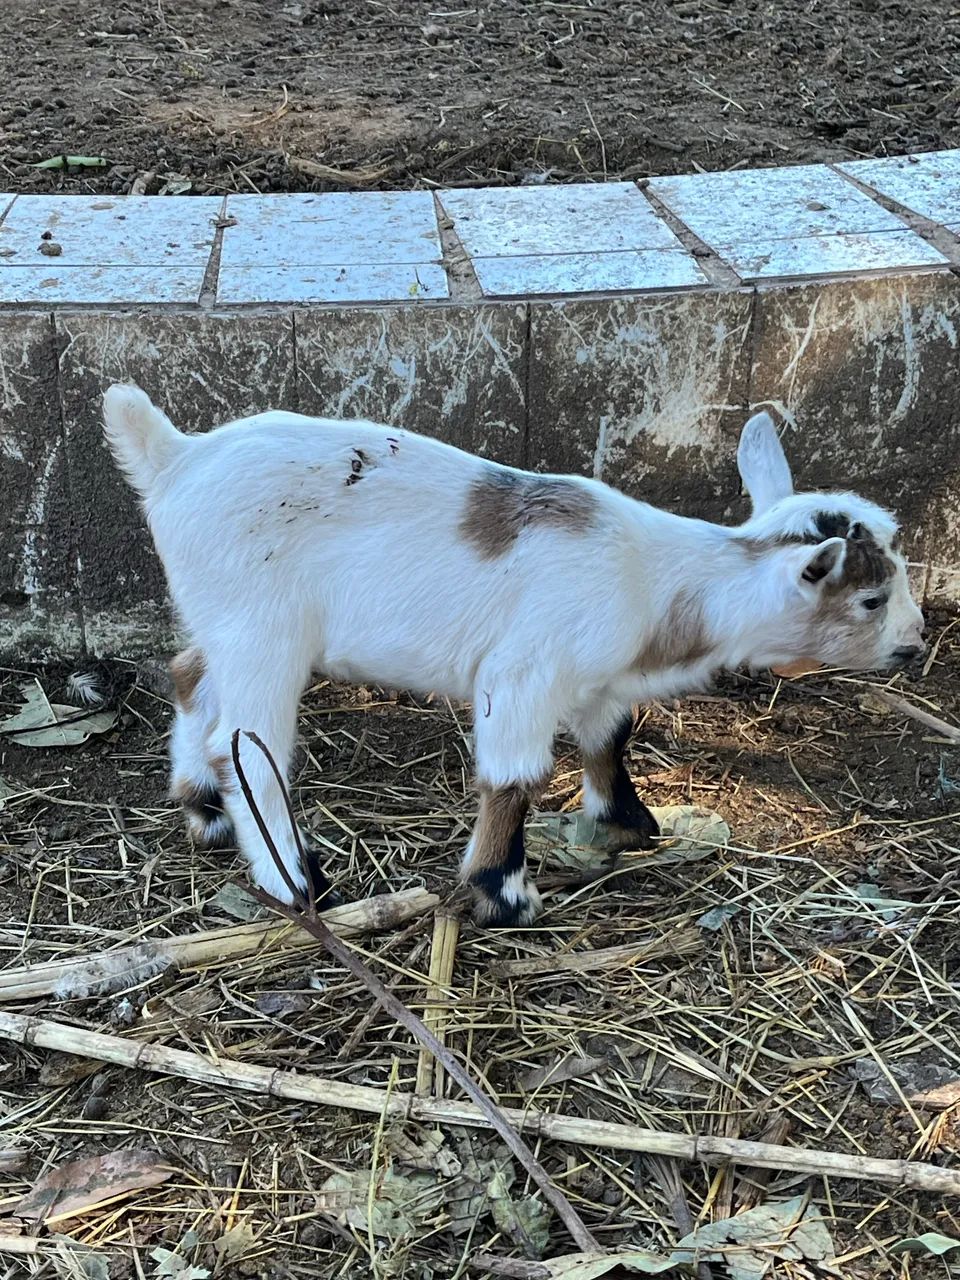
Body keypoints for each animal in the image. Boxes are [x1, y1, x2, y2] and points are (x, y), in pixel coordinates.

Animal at [102, 385, 926, 926]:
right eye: (871, 599)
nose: (914, 647)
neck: (659, 578)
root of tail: (174, 457)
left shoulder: (598, 679)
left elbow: (608, 739)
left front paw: (627, 821)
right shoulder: (525, 674)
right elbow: (516, 777)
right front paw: (503, 891)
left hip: (222, 617)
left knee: (189, 676)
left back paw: (202, 809)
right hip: (264, 632)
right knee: (246, 744)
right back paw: (294, 879)